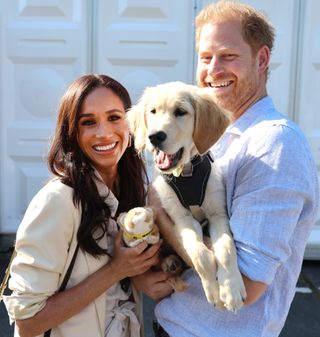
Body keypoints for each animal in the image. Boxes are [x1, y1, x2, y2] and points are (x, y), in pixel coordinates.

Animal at [128, 81, 248, 310]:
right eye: (153, 111)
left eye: (181, 112)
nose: (154, 137)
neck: (187, 173)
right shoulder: (182, 219)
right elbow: (200, 254)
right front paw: (214, 290)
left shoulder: (218, 215)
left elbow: (226, 249)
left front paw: (231, 289)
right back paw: (169, 262)